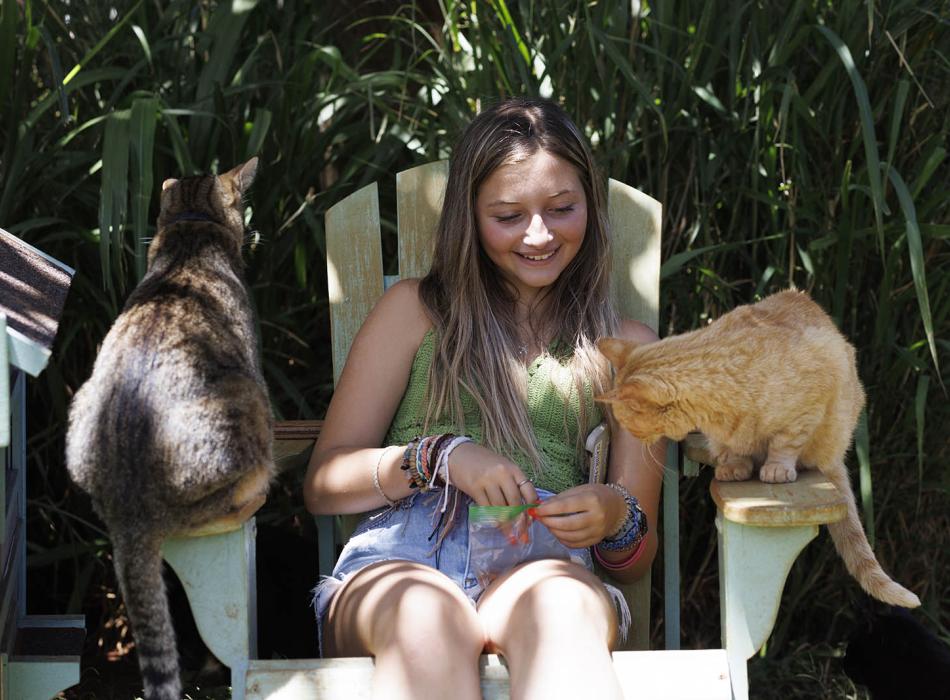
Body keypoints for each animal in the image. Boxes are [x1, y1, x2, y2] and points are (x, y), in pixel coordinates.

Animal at [604, 290, 924, 608]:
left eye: (628, 423)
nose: (634, 439)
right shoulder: (722, 436)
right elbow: (731, 449)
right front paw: (734, 466)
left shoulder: (807, 405)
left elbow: (784, 443)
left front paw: (776, 468)